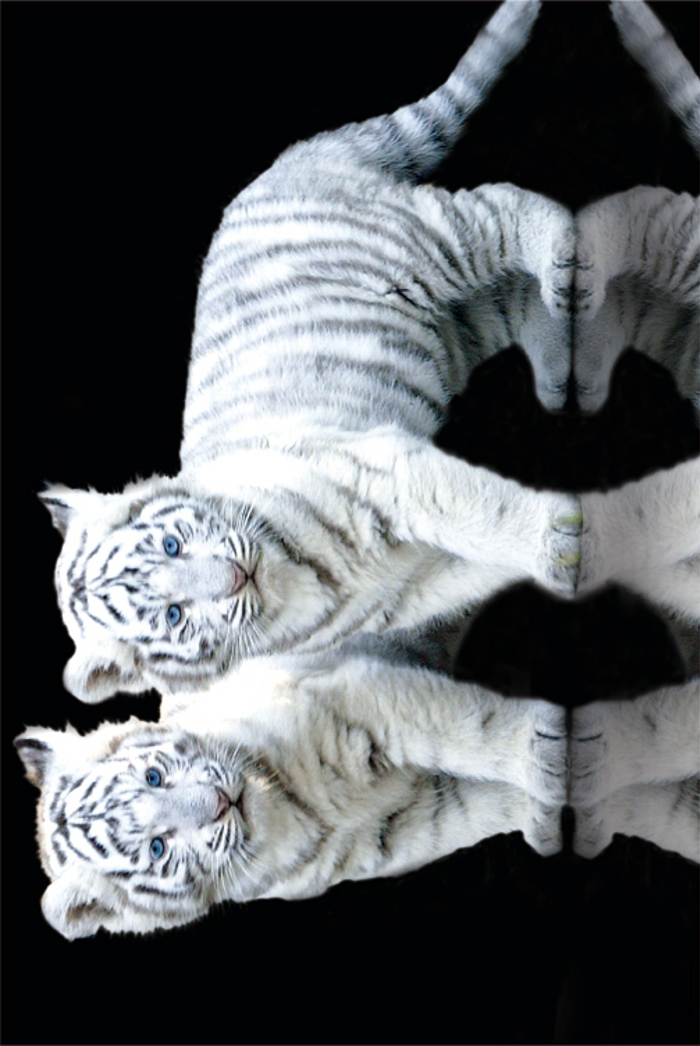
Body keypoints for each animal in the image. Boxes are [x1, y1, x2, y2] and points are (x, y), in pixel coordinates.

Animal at [15, 653, 569, 938]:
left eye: (153, 777)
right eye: (157, 847)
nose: (219, 802)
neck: (293, 811)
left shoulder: (354, 701)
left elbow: (468, 727)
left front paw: (544, 747)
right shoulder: (395, 831)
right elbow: (469, 810)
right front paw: (545, 811)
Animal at [41, 0, 587, 705]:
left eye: (170, 543)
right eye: (174, 615)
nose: (234, 576)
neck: (294, 582)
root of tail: (287, 163)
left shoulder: (385, 469)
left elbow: (477, 507)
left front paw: (559, 545)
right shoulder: (412, 591)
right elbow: (469, 561)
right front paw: (563, 556)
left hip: (427, 243)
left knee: (506, 206)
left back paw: (568, 254)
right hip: (457, 322)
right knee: (515, 296)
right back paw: (558, 369)